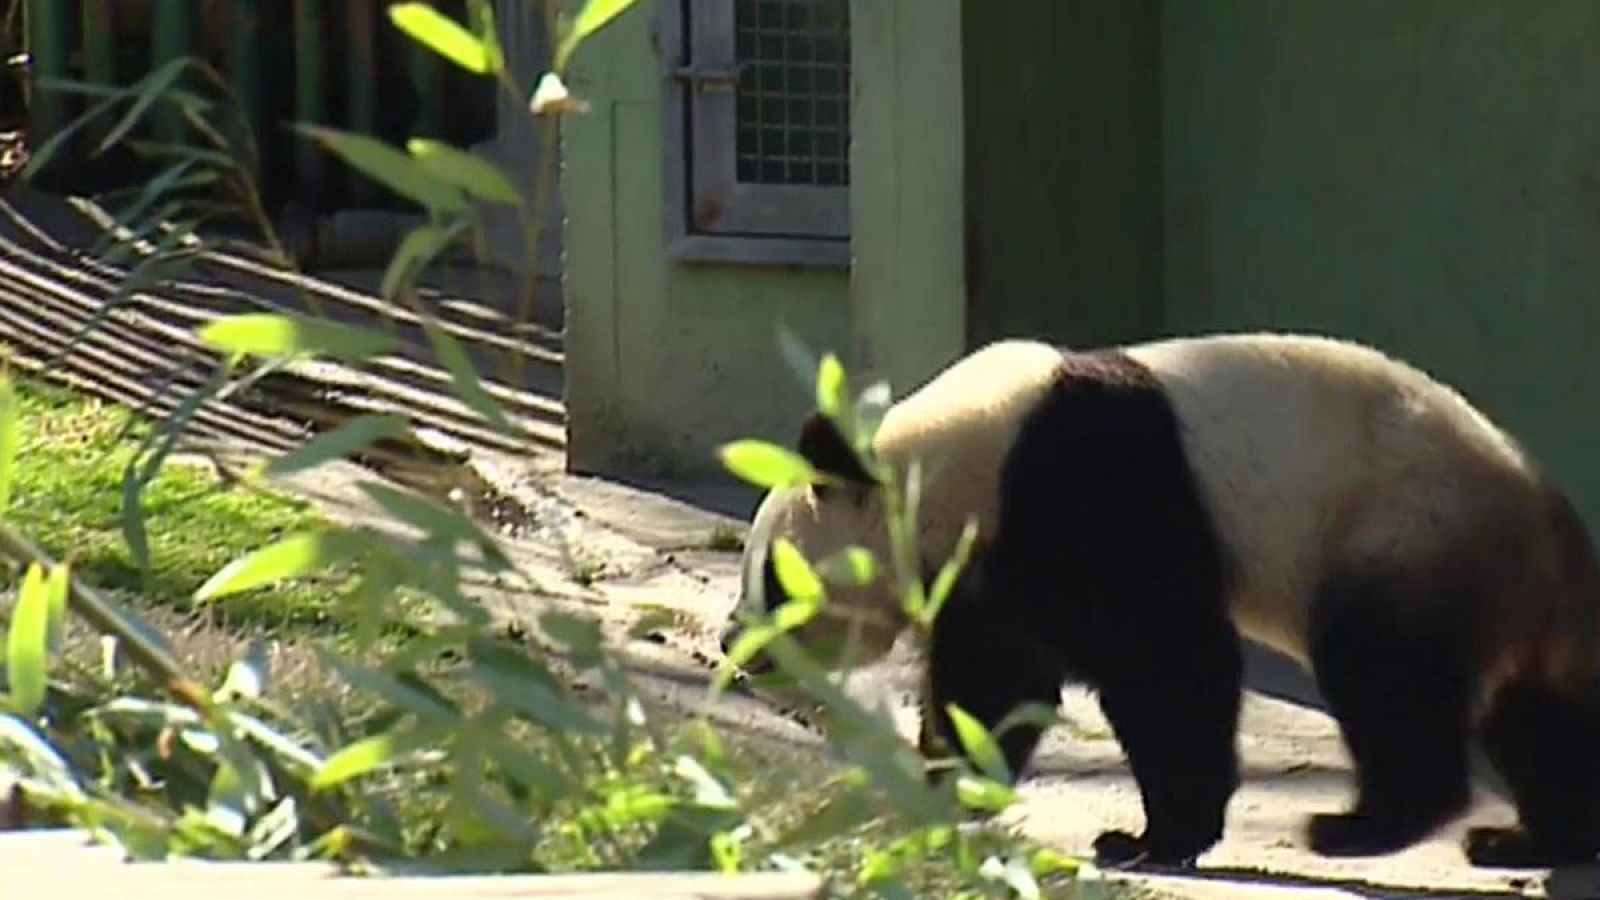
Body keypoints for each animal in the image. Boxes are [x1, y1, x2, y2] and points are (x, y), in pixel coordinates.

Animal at [720, 331, 1600, 871]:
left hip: (1403, 535)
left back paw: (1365, 826)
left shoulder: (1080, 483)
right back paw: (1535, 838)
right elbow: (996, 683)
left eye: (770, 577)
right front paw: (933, 792)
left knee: (1386, 678)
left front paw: (1154, 837)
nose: (736, 649)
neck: (933, 469)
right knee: (1536, 720)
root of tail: (1556, 530)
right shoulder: (995, 568)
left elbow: (1167, 661)